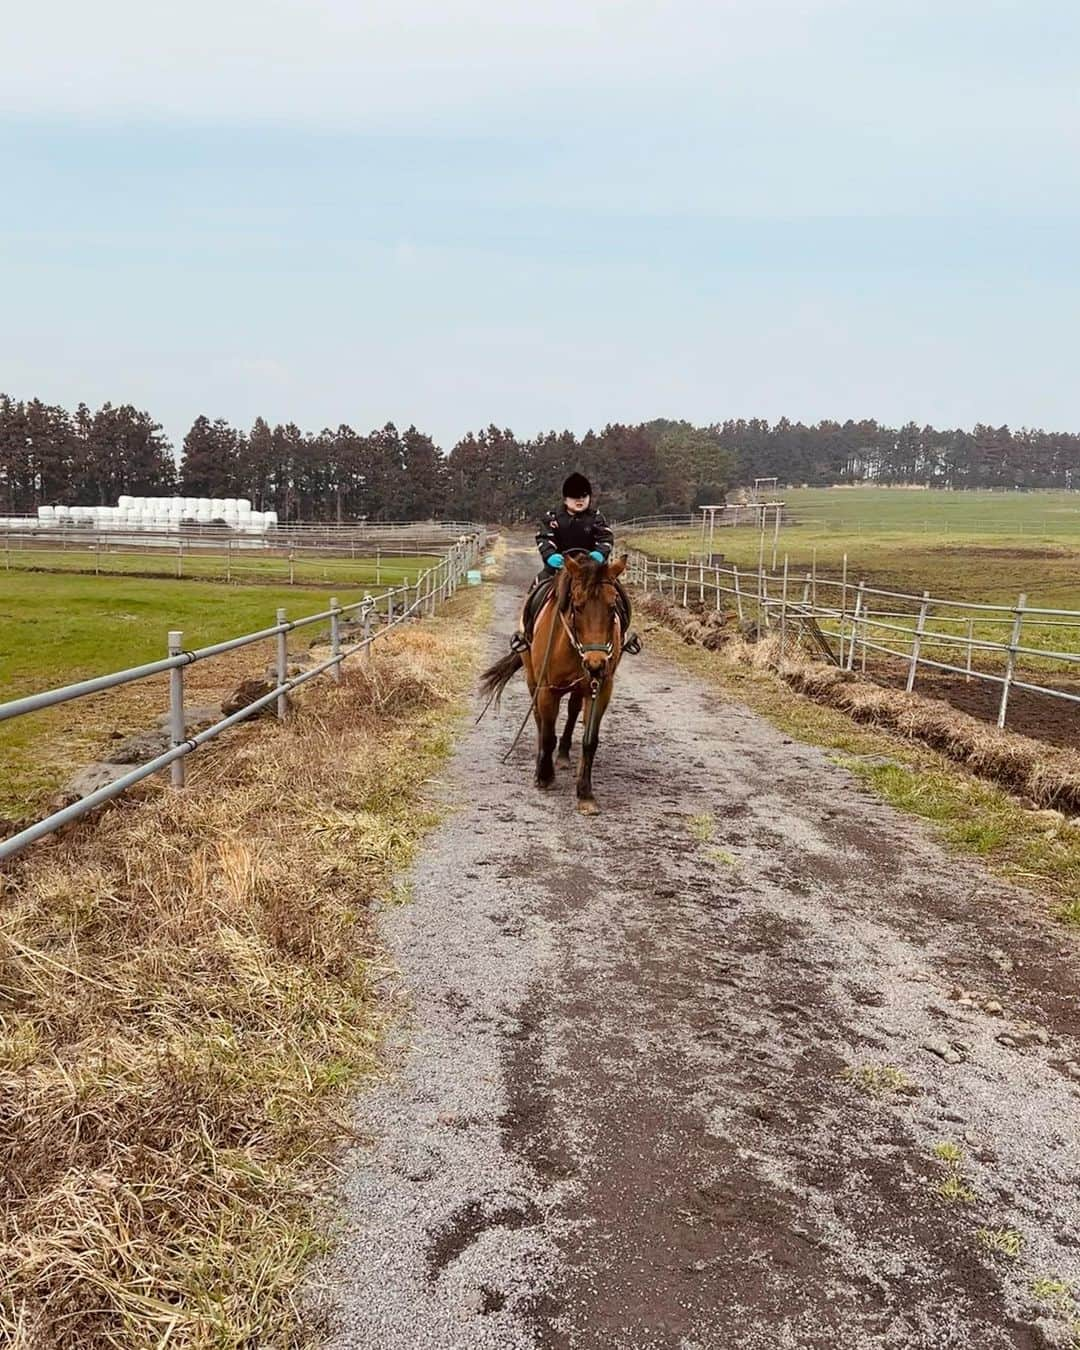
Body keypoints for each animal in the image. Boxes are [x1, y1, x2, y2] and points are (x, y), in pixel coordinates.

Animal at [477, 550, 629, 810]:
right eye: (577, 607)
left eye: (612, 607)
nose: (596, 664)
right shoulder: (547, 689)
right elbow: (547, 734)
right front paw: (544, 776)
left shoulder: (601, 689)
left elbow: (590, 740)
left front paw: (585, 793)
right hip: (533, 680)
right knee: (540, 719)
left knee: (573, 711)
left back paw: (564, 754)